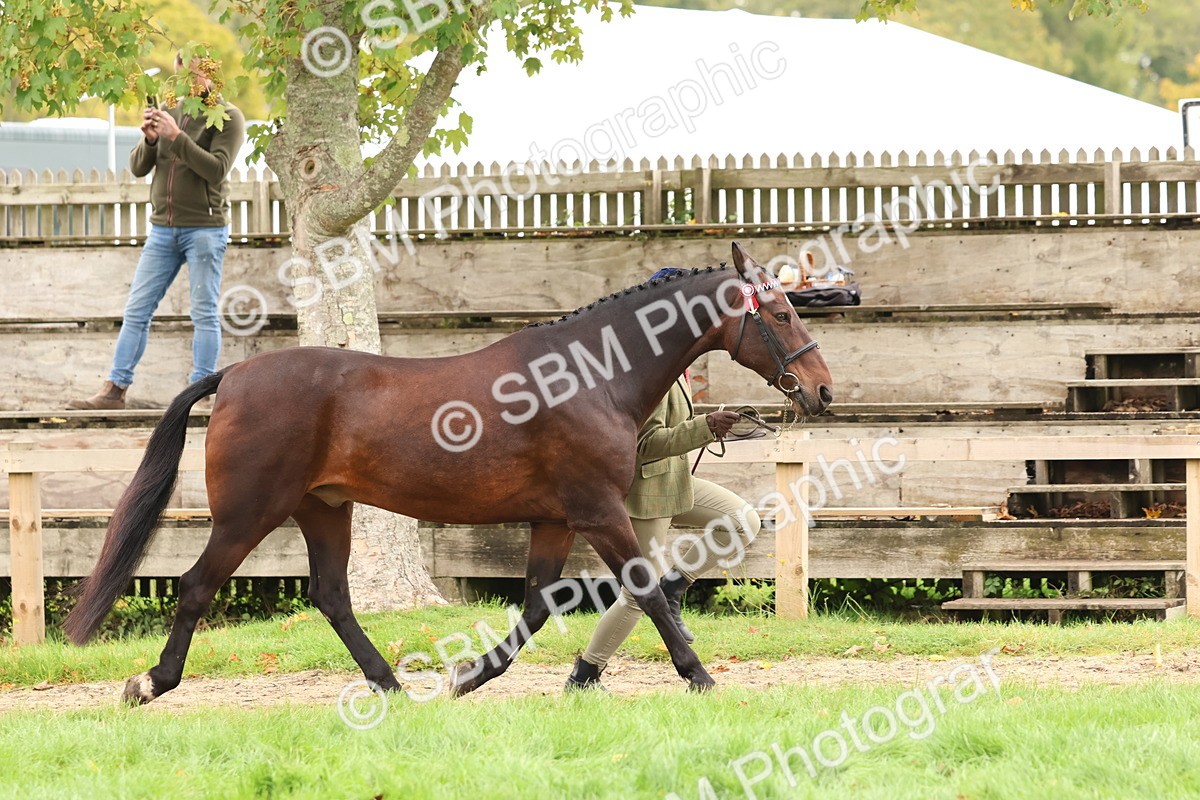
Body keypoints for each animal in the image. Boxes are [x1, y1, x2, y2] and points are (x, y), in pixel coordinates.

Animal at [63, 241, 833, 704]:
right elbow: (643, 590)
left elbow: (536, 605)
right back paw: (150, 682)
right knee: (198, 586)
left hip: (324, 508)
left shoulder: (556, 518)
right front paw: (700, 677)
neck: (591, 376)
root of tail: (233, 376)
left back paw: (390, 687)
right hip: (251, 512)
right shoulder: (598, 511)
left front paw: (468, 676)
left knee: (332, 595)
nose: (822, 391)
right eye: (782, 311)